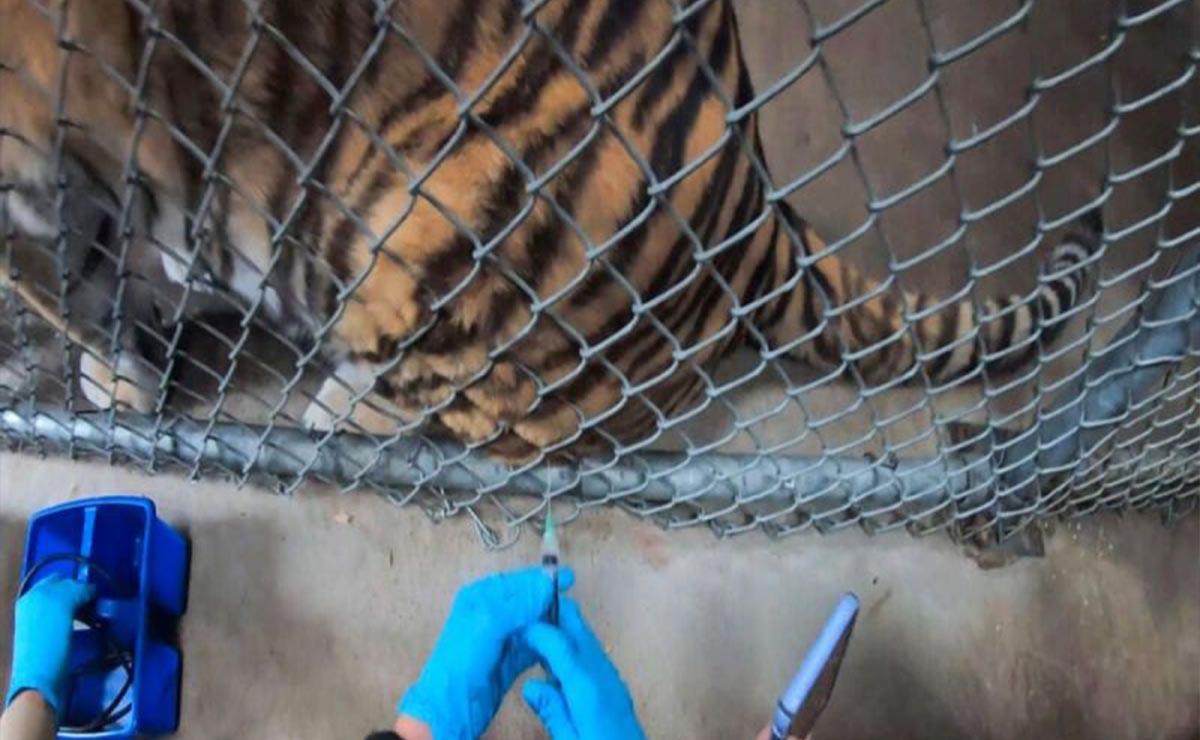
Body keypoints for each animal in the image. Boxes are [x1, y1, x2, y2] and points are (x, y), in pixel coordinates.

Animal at [0, 0, 1096, 462]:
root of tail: (753, 212)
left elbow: (80, 281)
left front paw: (110, 378)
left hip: (424, 229)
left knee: (426, 395)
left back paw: (325, 409)